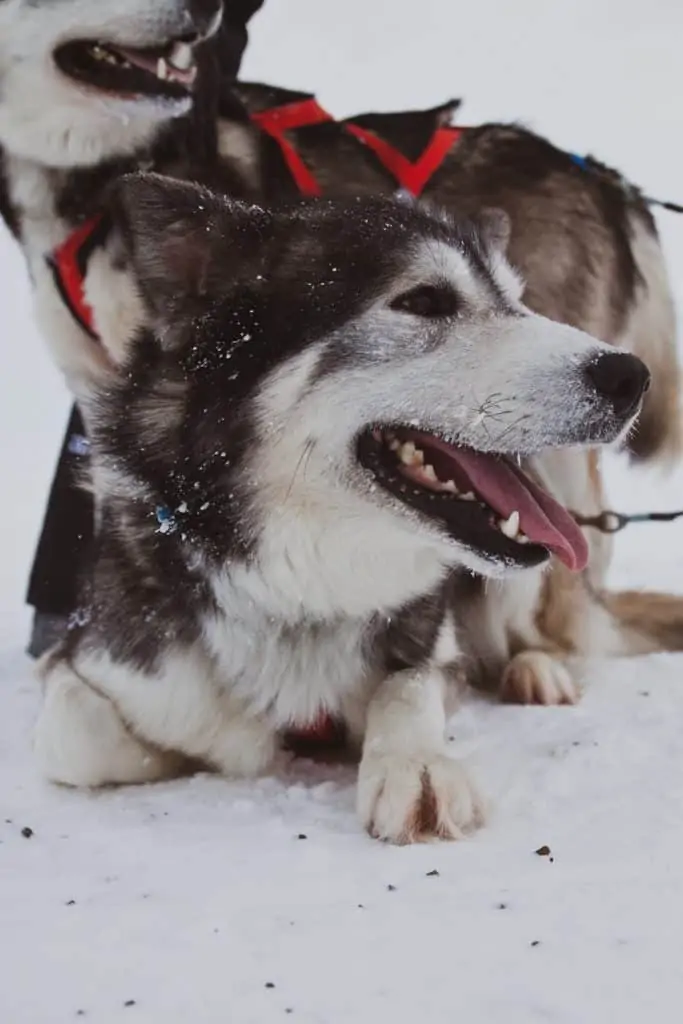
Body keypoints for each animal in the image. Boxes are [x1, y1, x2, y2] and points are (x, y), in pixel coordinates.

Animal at [33, 174, 651, 839]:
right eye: (425, 300)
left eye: (518, 301)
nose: (630, 377)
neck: (304, 589)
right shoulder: (95, 663)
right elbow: (80, 738)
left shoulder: (435, 654)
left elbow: (406, 687)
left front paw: (416, 763)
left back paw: (535, 670)